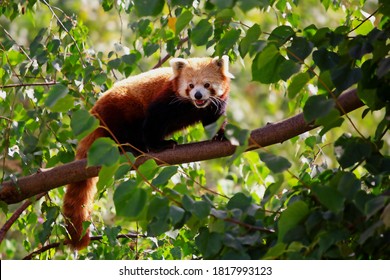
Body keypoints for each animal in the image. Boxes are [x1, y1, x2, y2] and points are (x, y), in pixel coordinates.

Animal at [63, 55, 233, 248]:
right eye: (190, 85)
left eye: (206, 85)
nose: (197, 95)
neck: (192, 106)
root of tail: (95, 110)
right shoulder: (166, 99)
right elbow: (154, 121)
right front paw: (159, 145)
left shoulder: (214, 104)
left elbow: (214, 120)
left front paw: (221, 134)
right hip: (120, 110)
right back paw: (133, 147)